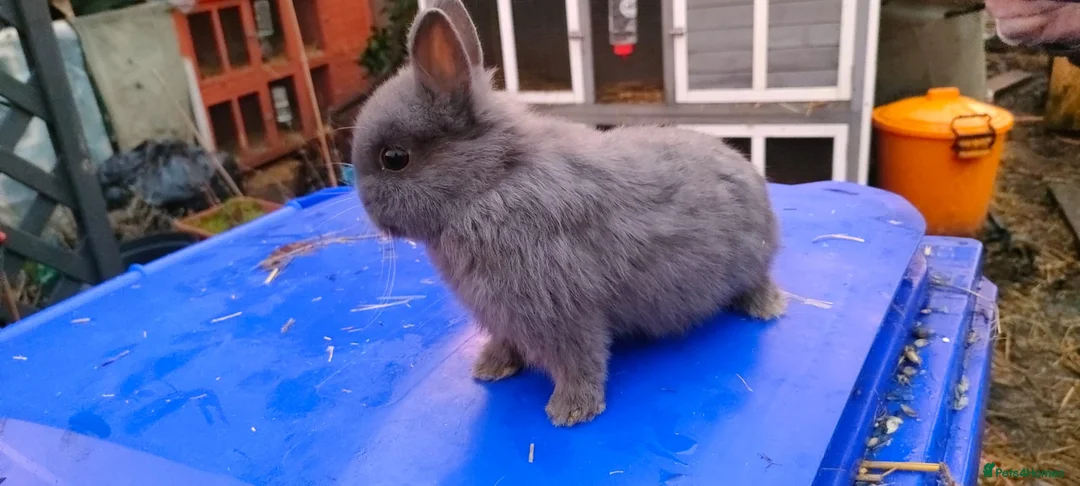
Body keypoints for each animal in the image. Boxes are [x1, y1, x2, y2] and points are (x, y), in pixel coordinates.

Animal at [350, 0, 786, 427]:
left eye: (394, 158)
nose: (367, 210)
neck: (492, 181)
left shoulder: (561, 311)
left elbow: (579, 359)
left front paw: (571, 412)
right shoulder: (503, 317)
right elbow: (507, 343)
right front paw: (490, 368)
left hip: (750, 264)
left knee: (757, 284)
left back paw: (766, 308)